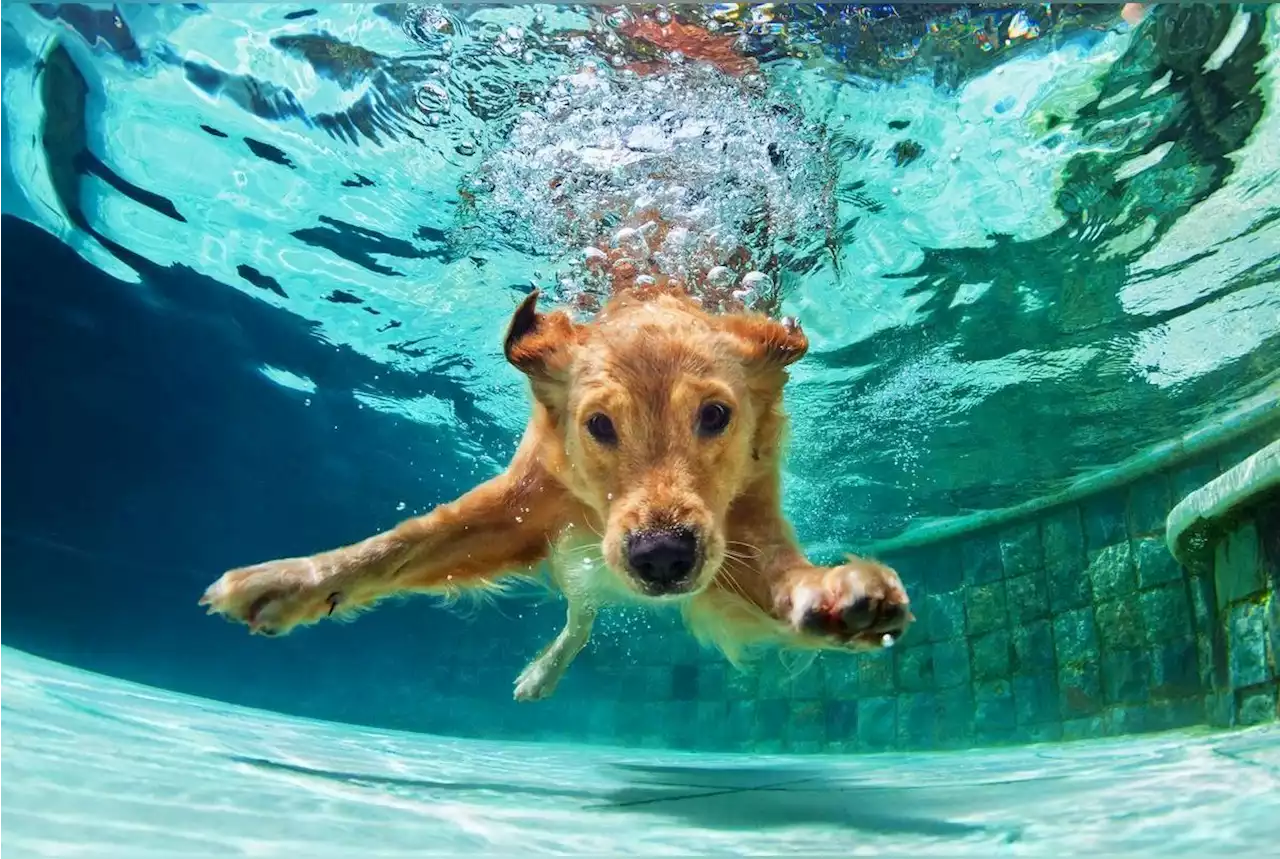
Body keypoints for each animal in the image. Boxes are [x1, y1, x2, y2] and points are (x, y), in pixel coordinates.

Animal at [199, 285, 911, 701]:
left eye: (715, 415)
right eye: (598, 425)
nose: (661, 557)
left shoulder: (741, 527)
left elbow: (783, 575)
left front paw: (837, 595)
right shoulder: (521, 505)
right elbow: (400, 544)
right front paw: (292, 581)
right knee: (580, 614)